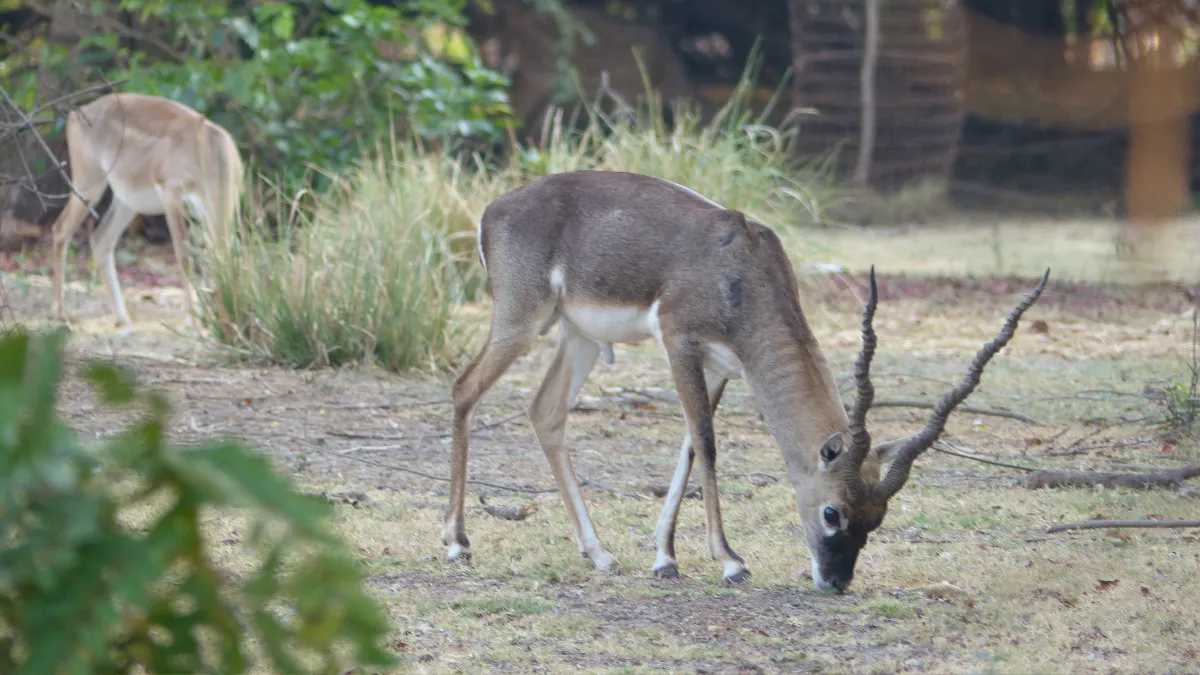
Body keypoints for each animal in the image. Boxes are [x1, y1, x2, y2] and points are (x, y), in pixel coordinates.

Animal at [50, 91, 244, 331]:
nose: (233, 323)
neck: (209, 151)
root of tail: (79, 112)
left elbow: (205, 258)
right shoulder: (172, 197)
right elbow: (184, 257)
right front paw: (192, 321)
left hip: (127, 201)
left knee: (100, 239)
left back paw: (122, 318)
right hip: (88, 185)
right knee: (61, 229)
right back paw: (60, 313)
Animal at [442, 169, 1049, 592]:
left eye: (877, 519)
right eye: (832, 512)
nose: (836, 581)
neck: (743, 268)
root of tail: (493, 210)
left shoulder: (721, 366)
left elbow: (690, 447)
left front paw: (665, 558)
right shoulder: (680, 341)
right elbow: (708, 444)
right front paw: (730, 561)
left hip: (579, 337)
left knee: (545, 413)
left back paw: (599, 554)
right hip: (521, 323)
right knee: (463, 391)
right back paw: (456, 543)